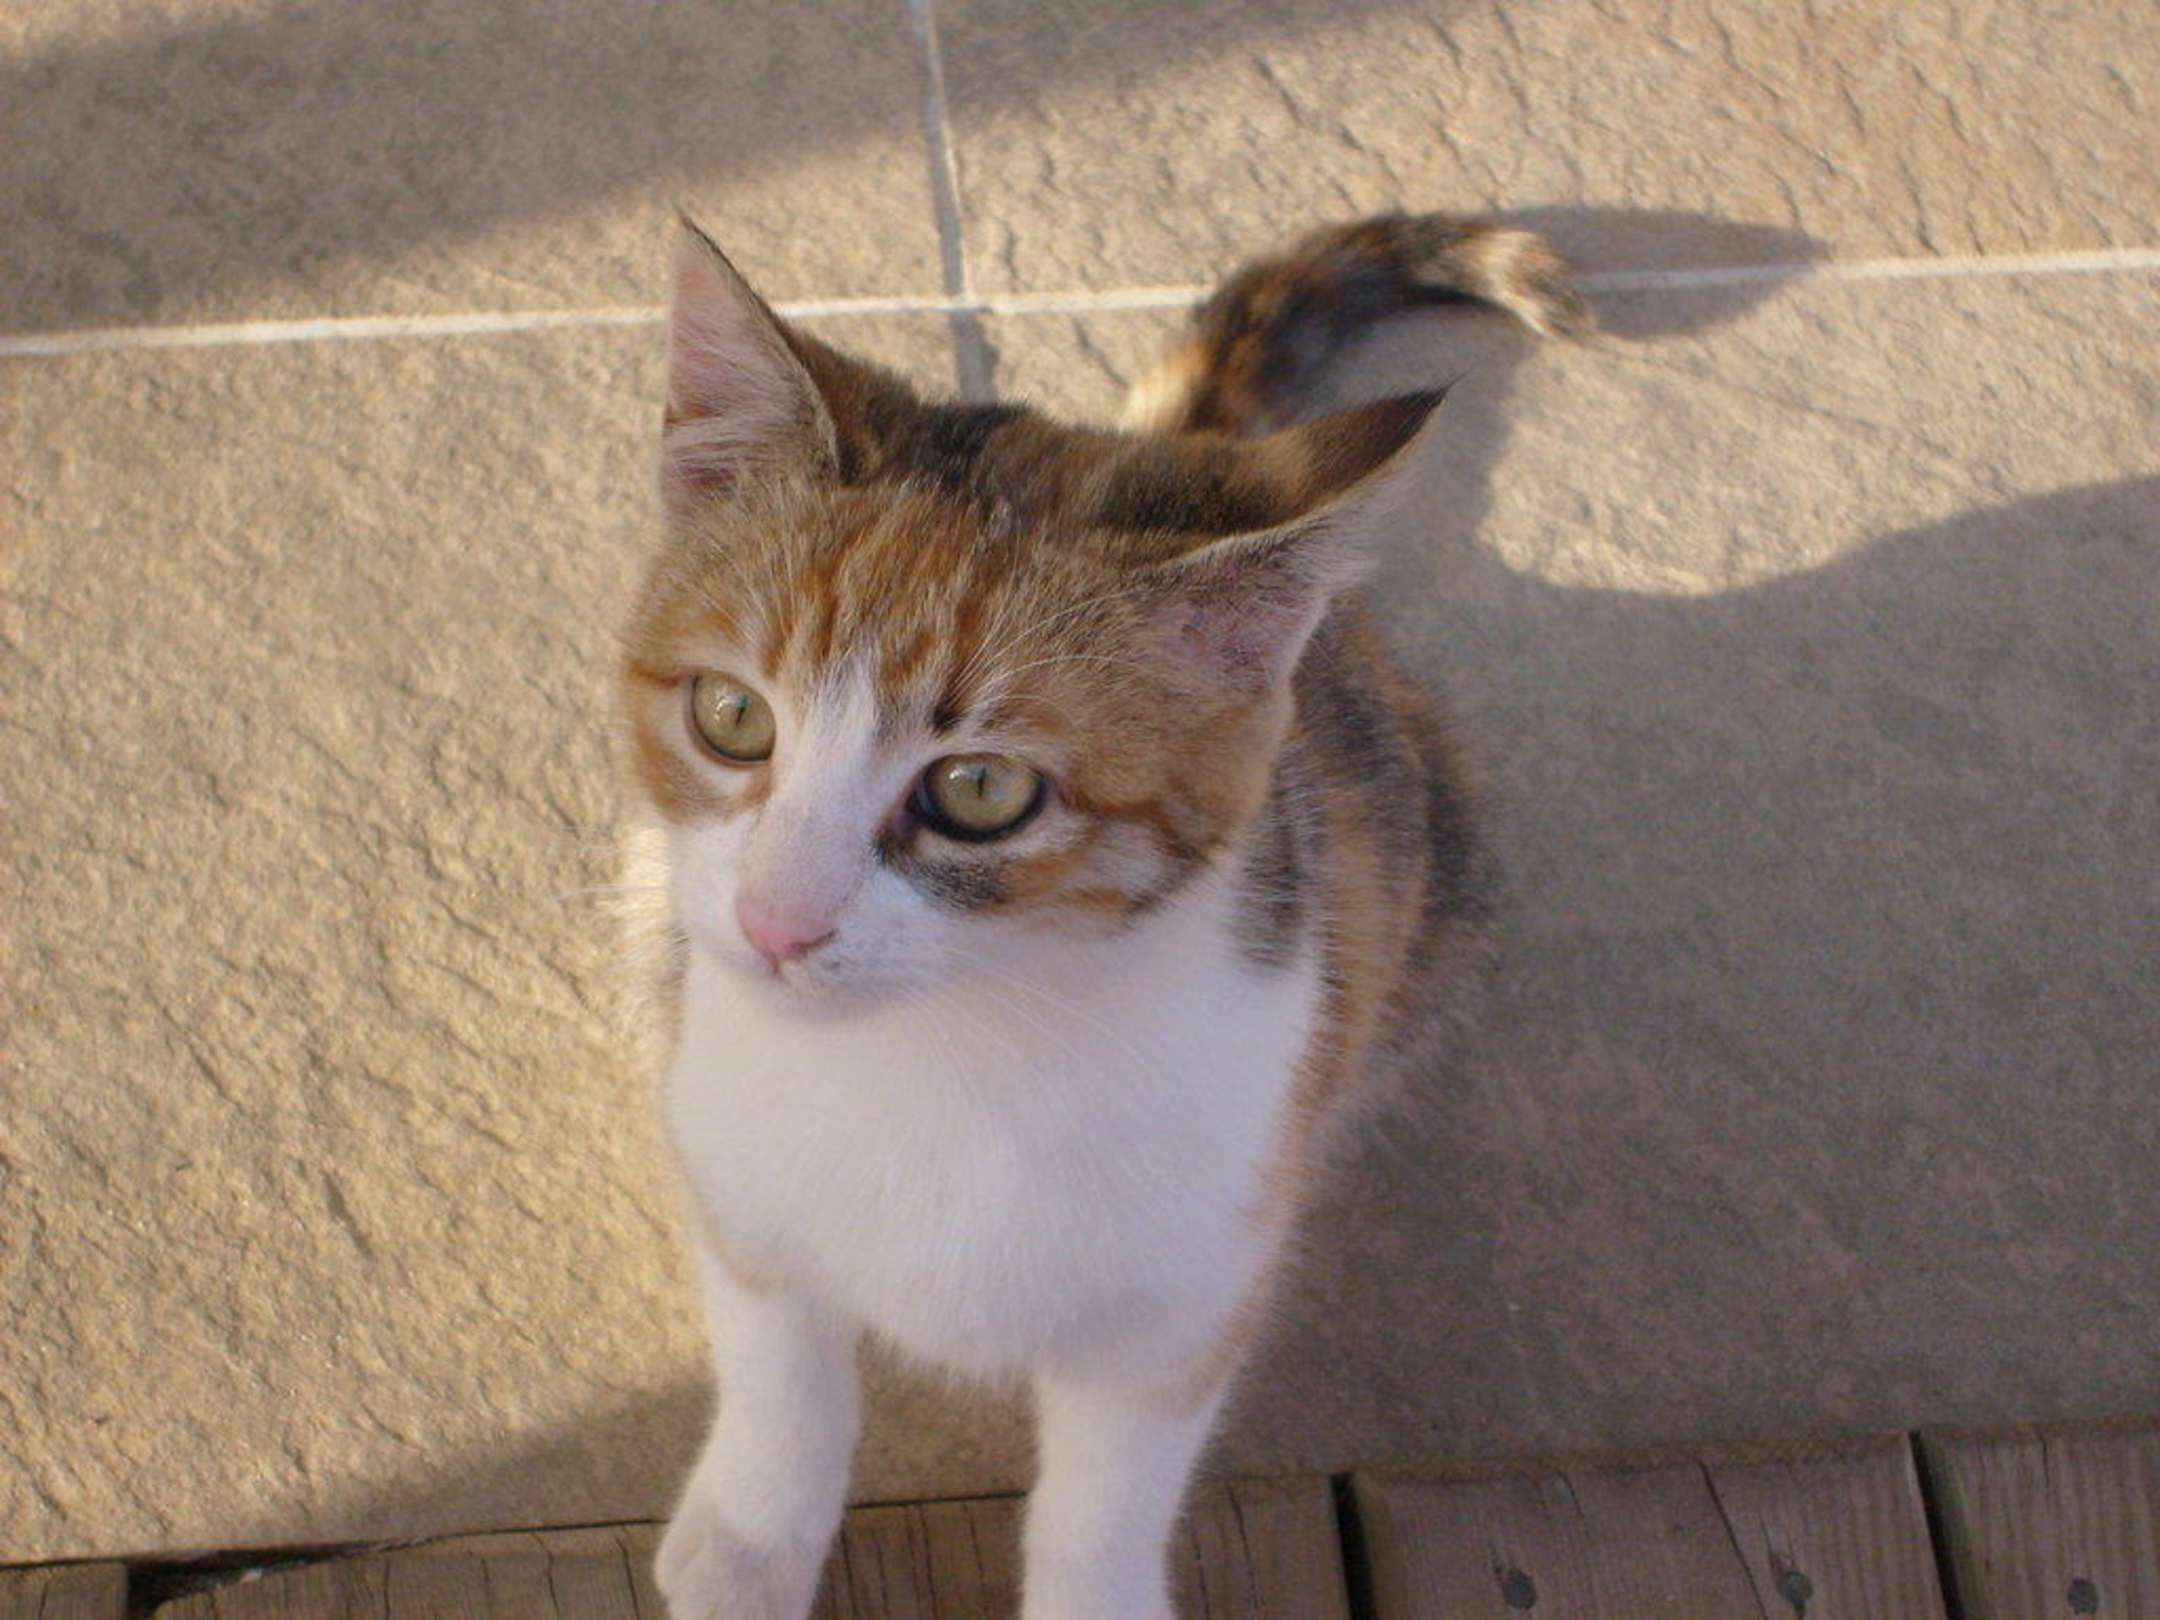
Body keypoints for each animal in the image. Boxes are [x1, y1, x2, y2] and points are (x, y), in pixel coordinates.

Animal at [620, 210, 1587, 1620]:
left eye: (980, 790)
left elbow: (1111, 1485)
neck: (947, 1049)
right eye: (731, 714)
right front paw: (750, 1539)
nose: (777, 924)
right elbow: (779, 1364)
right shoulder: (733, 1166)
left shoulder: (1191, 1278)